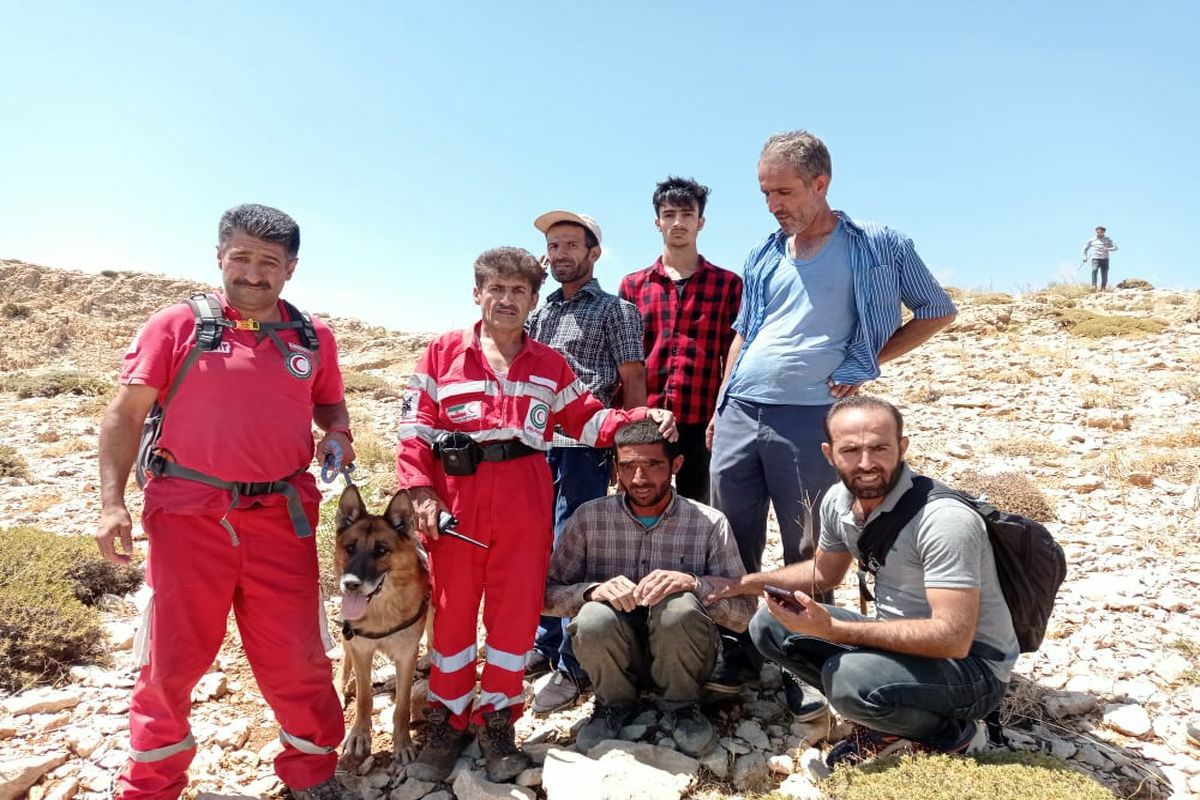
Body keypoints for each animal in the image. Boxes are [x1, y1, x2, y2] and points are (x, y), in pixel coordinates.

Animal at [336, 482, 429, 762]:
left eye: (381, 550)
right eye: (350, 548)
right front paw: (359, 734)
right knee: (344, 661)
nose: (350, 584)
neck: (381, 611)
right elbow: (364, 698)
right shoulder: (361, 650)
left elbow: (402, 705)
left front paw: (402, 743)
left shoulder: (406, 656)